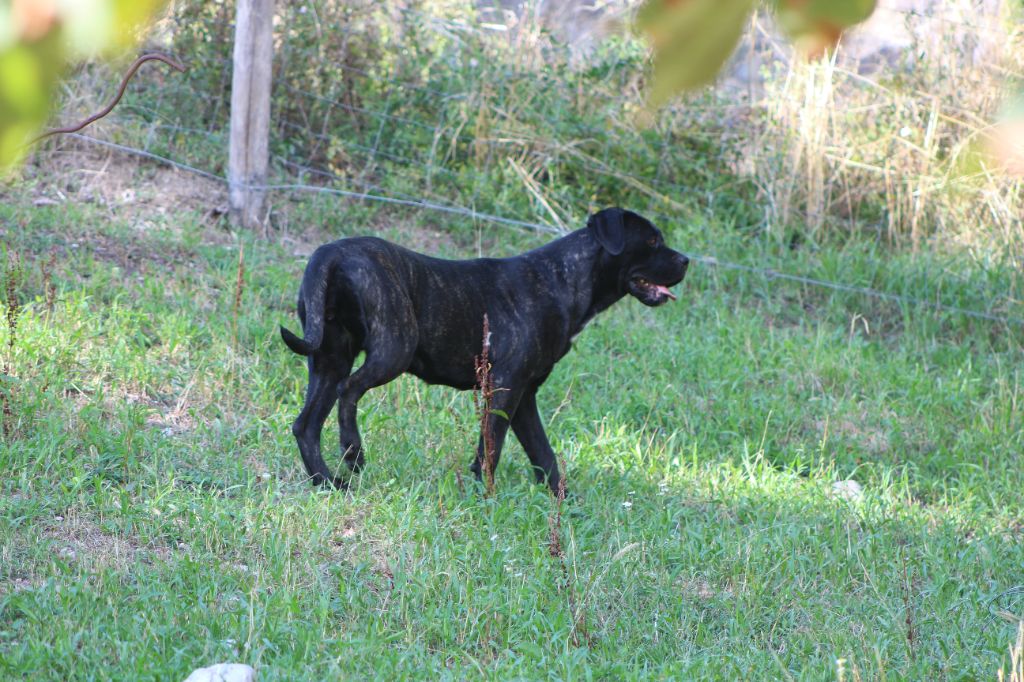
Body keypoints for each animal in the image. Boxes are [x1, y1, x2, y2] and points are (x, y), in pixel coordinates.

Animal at [280, 206, 688, 489]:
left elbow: (544, 455)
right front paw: (483, 493)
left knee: (306, 426)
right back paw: (353, 453)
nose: (686, 260)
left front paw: (563, 502)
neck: (564, 279)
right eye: (652, 241)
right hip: (392, 349)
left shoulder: (524, 396)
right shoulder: (505, 387)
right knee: (349, 393)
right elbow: (491, 448)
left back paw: (328, 482)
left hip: (330, 360)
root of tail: (330, 254)